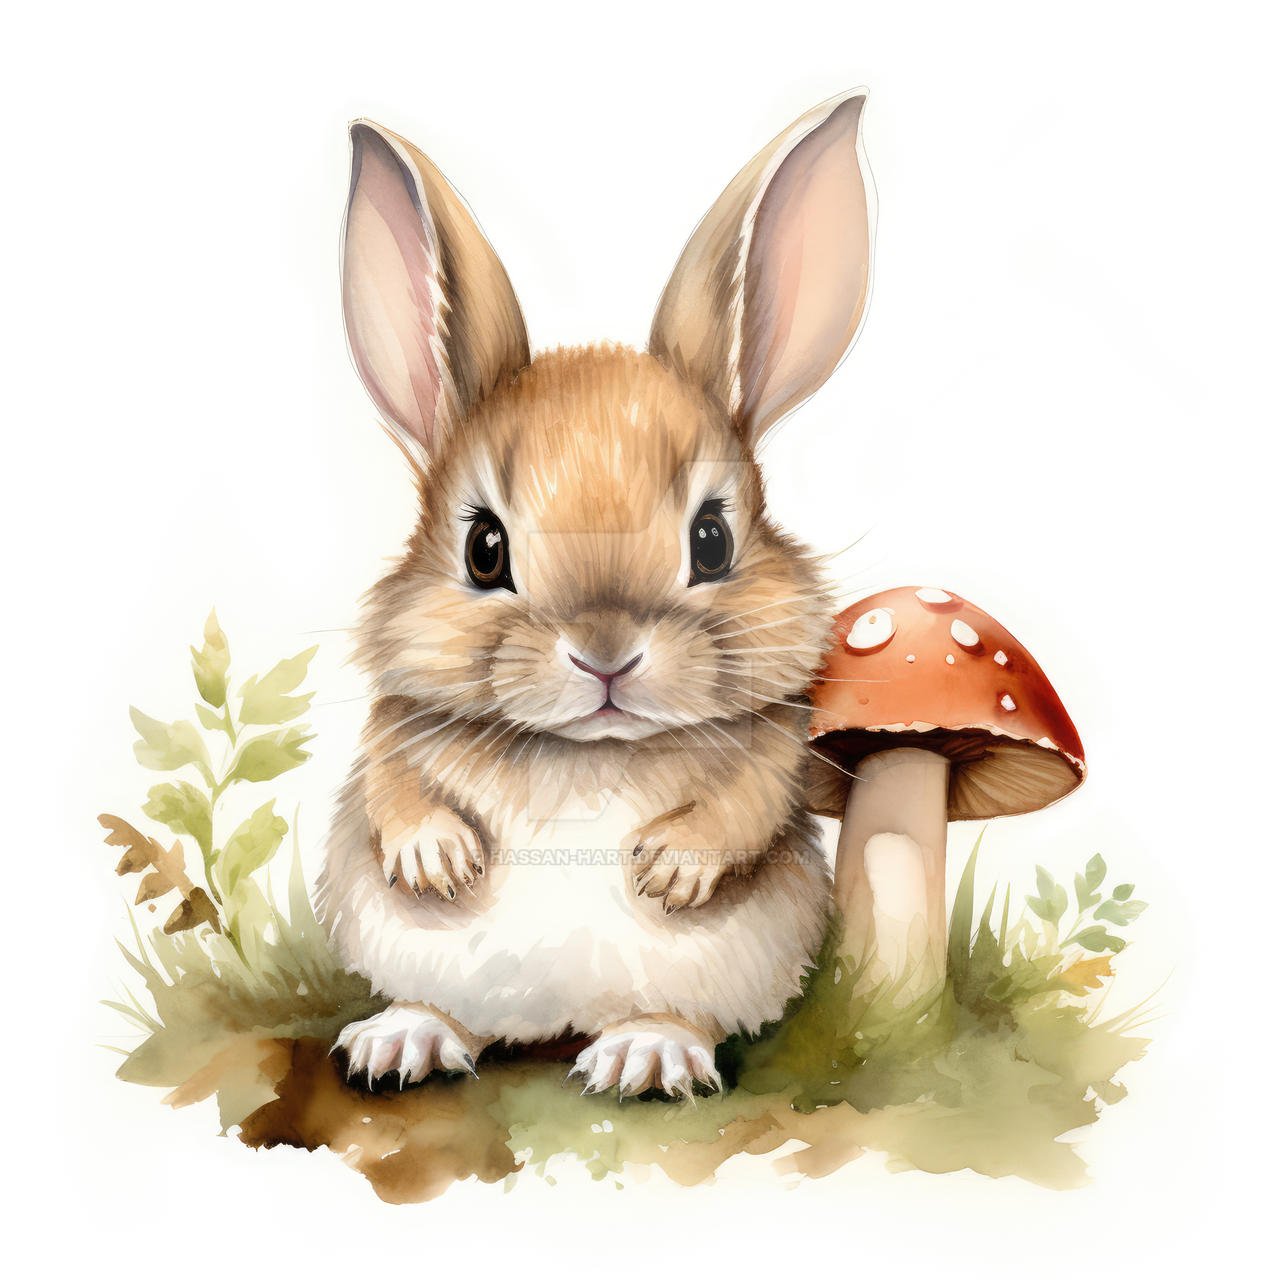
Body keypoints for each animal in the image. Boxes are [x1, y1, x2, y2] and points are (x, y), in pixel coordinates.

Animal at [316, 89, 876, 1097]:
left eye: (712, 540)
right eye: (484, 549)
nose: (605, 655)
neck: (587, 754)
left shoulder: (775, 746)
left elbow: (747, 802)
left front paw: (669, 868)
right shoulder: (393, 727)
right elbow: (393, 789)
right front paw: (438, 859)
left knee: (669, 1015)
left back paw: (644, 1054)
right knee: (447, 1010)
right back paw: (404, 1040)